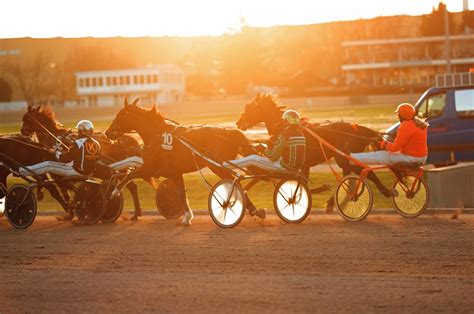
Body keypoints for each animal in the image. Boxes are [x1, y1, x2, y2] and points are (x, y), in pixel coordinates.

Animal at [104, 99, 260, 224]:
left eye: (119, 116)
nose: (107, 132)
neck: (157, 135)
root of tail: (229, 132)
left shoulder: (149, 168)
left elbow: (129, 175)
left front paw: (114, 192)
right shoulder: (175, 173)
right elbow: (181, 193)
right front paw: (187, 216)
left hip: (217, 166)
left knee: (236, 182)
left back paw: (246, 207)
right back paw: (254, 210)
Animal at [236, 92, 392, 211]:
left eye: (250, 108)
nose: (238, 123)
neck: (285, 126)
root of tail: (359, 128)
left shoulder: (290, 164)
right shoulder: (302, 166)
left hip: (344, 159)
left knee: (366, 173)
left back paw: (385, 191)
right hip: (344, 160)